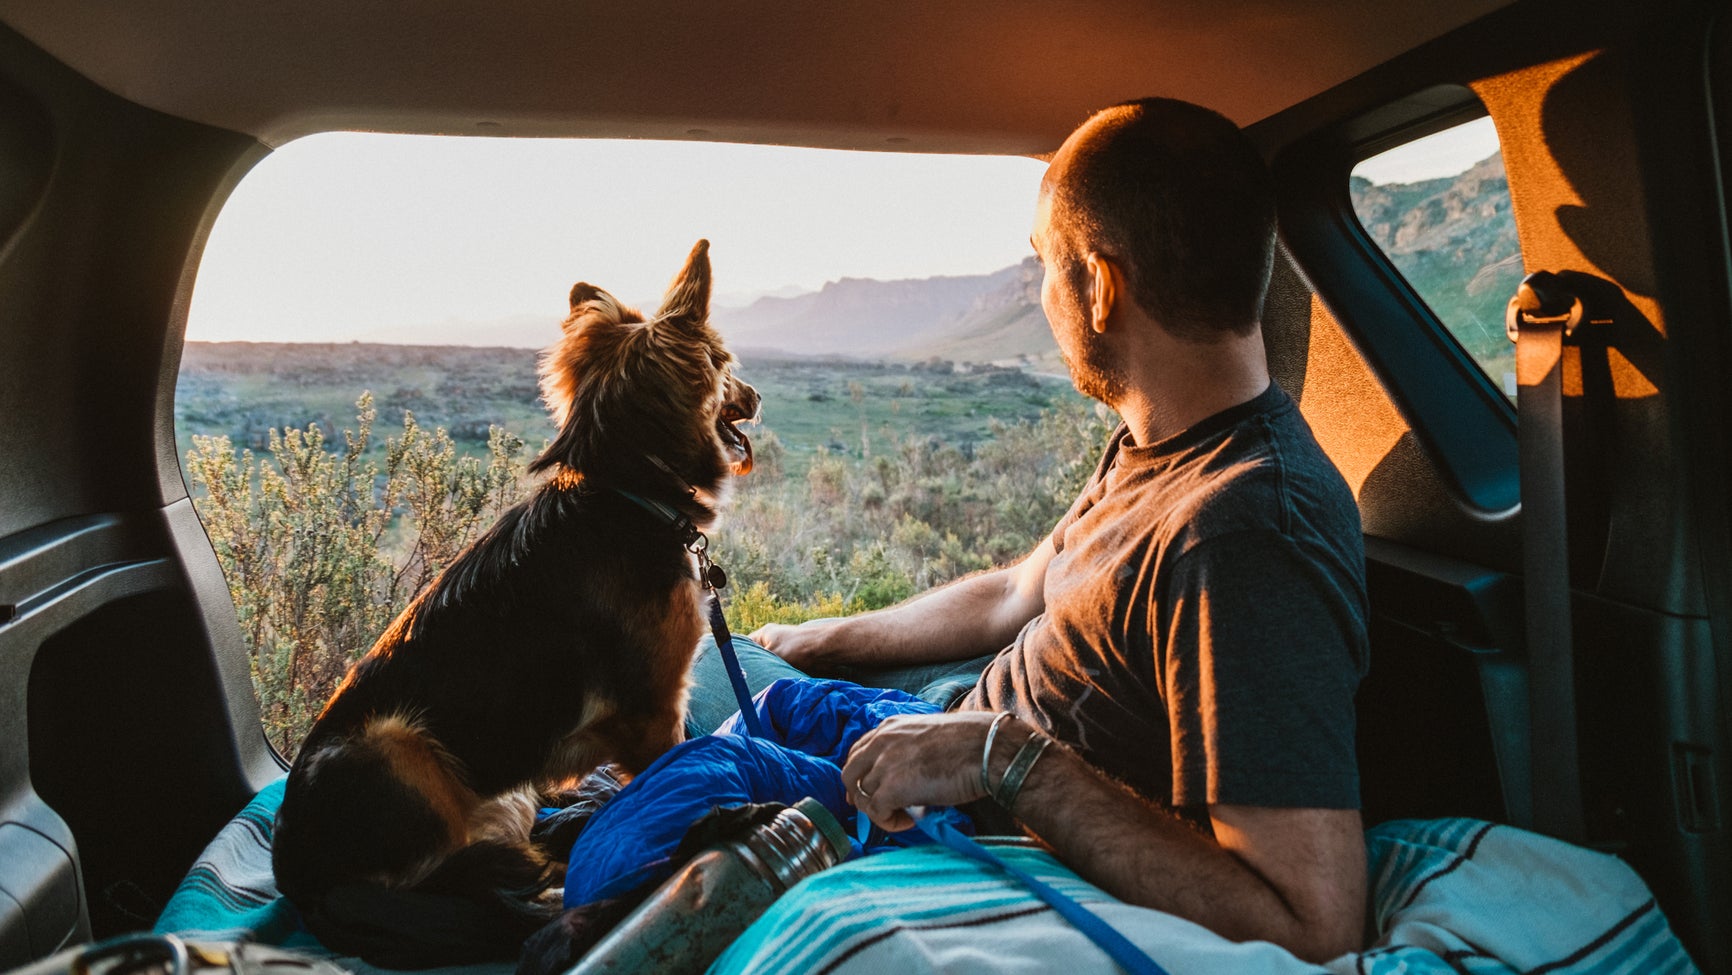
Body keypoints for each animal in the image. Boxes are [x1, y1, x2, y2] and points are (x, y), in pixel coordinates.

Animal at [270, 240, 758, 962]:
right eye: (728, 366)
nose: (757, 395)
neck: (626, 492)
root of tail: (297, 883)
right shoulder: (652, 711)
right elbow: (673, 780)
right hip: (398, 746)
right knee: (457, 888)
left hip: (495, 793)